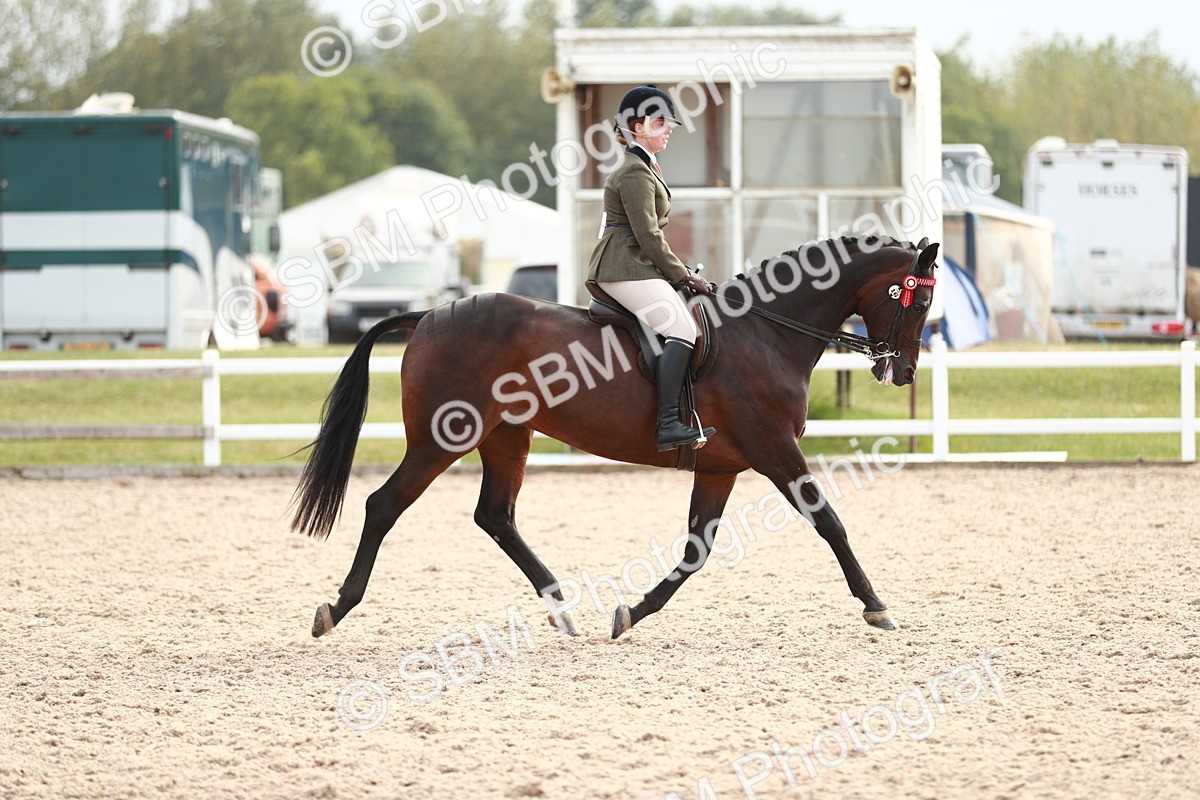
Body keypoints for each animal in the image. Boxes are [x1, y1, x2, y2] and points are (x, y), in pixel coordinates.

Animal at [292, 236, 940, 640]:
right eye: (919, 298)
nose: (904, 372)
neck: (766, 333)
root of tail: (427, 316)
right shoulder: (775, 449)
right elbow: (829, 521)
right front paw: (877, 607)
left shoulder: (721, 466)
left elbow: (696, 549)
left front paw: (632, 612)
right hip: (440, 440)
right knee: (384, 506)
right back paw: (336, 608)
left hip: (507, 437)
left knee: (495, 516)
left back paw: (561, 610)